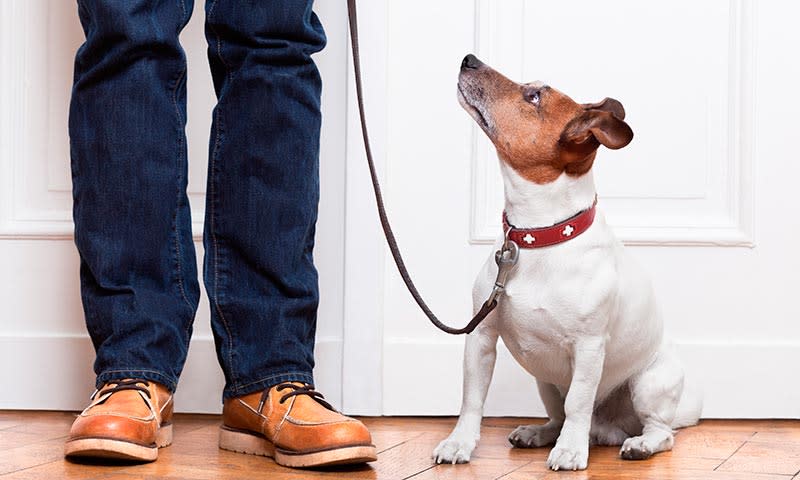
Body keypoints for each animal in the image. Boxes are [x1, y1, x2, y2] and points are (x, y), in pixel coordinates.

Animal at [432, 54, 700, 470]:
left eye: (534, 96)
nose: (469, 59)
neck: (539, 236)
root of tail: (607, 429)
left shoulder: (588, 347)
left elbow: (579, 402)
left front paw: (571, 451)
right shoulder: (481, 337)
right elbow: (472, 399)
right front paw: (459, 443)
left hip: (649, 384)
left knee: (660, 431)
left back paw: (634, 443)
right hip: (545, 382)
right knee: (558, 416)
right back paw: (540, 433)